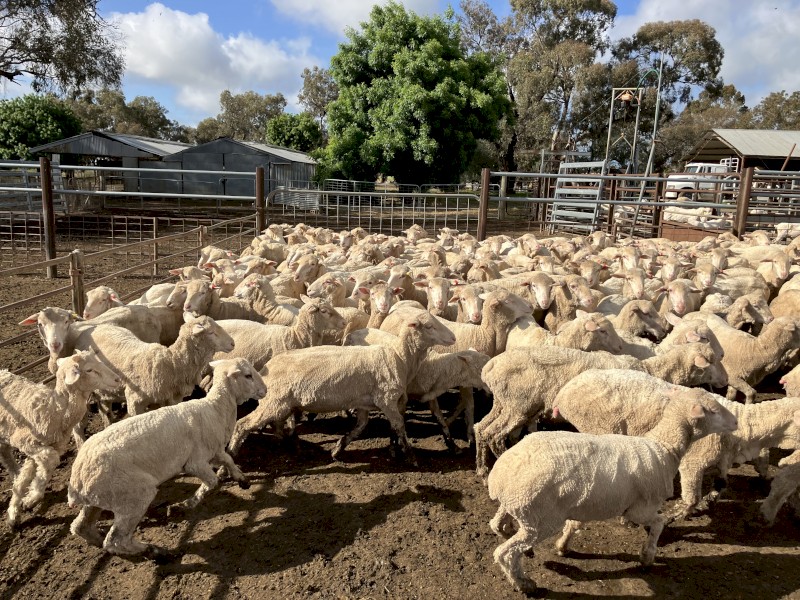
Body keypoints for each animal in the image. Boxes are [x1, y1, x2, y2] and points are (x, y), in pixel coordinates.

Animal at [0, 350, 121, 527]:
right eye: (89, 370)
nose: (118, 379)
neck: (56, 409)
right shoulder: (26, 441)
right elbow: (50, 459)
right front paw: (32, 498)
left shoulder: (42, 446)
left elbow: (26, 476)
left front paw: (17, 508)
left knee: (5, 454)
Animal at [67, 358, 266, 557]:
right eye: (248, 375)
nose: (265, 390)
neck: (216, 409)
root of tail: (77, 479)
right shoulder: (195, 462)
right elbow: (212, 482)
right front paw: (183, 505)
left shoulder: (215, 451)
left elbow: (228, 460)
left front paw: (242, 479)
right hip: (133, 494)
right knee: (115, 540)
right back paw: (153, 551)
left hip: (100, 499)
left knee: (80, 527)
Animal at [228, 310, 457, 462]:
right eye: (429, 326)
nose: (453, 337)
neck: (400, 357)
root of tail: (267, 367)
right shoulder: (387, 399)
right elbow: (399, 425)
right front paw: (410, 455)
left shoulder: (365, 403)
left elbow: (360, 427)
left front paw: (338, 448)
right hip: (274, 402)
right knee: (242, 425)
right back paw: (230, 458)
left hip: (281, 403)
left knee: (272, 425)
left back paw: (290, 443)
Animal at [486, 389, 736, 594]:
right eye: (714, 411)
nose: (735, 422)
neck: (664, 446)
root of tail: (499, 478)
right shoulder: (640, 510)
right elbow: (658, 523)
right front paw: (647, 556)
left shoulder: (583, 501)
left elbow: (574, 524)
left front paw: (563, 546)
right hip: (540, 518)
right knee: (505, 553)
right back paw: (523, 583)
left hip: (520, 509)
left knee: (497, 525)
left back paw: (519, 548)